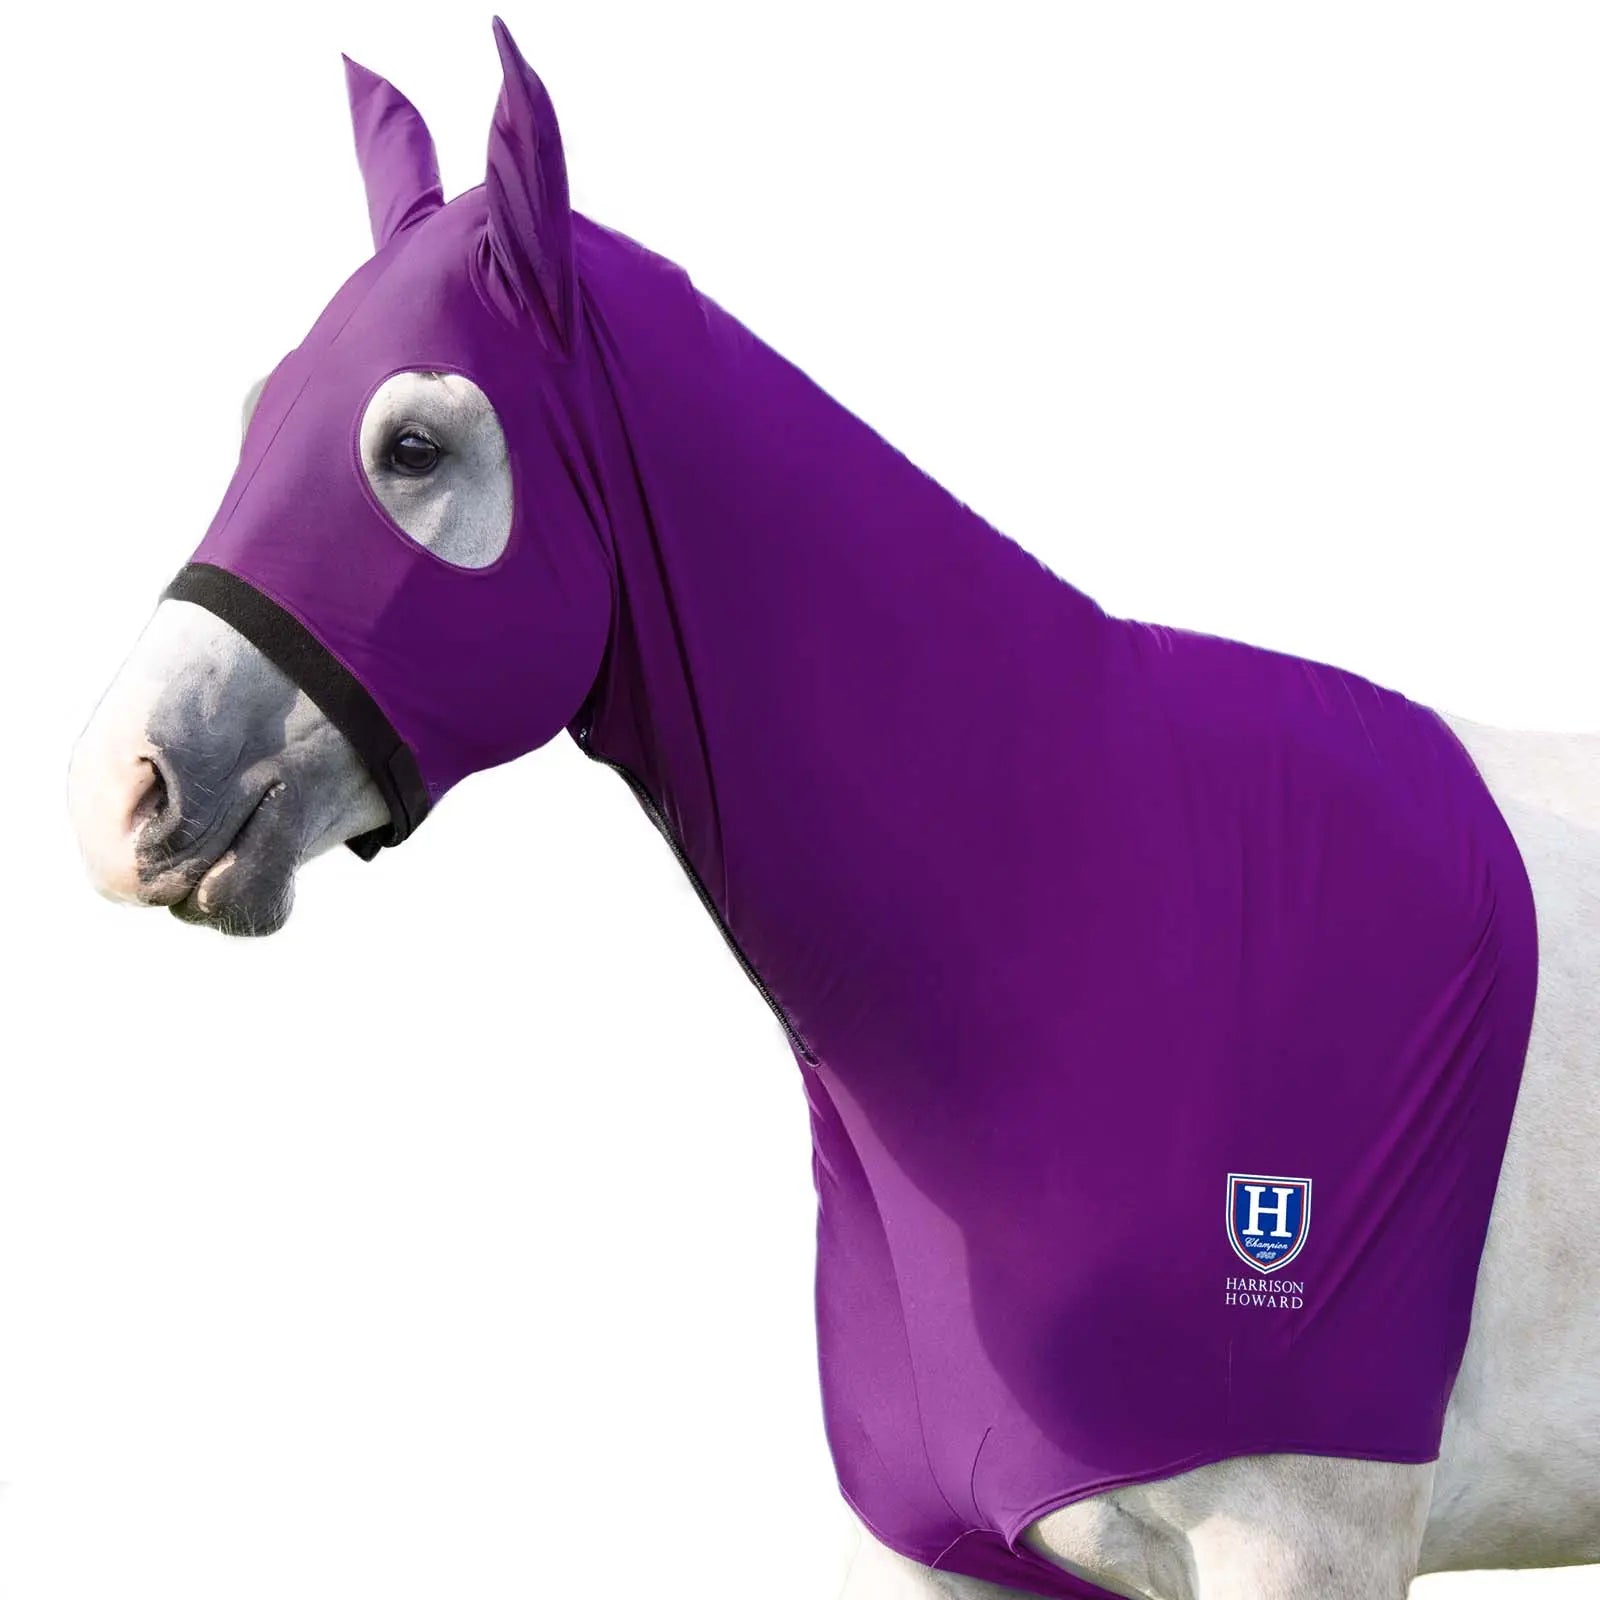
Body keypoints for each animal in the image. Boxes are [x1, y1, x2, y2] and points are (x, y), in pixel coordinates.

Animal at [66, 21, 1598, 1599]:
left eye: (413, 446)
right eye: (256, 415)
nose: (123, 790)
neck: (1093, 915)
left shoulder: (1301, 1542)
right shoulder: (947, 1551)